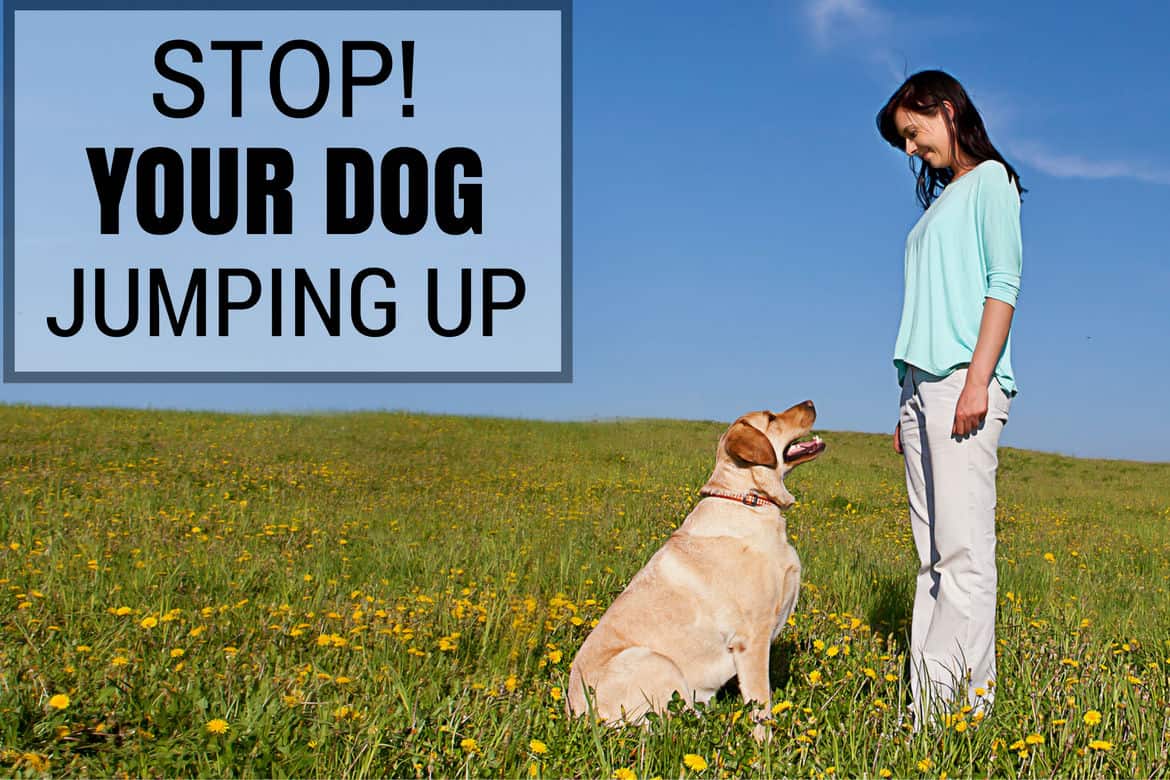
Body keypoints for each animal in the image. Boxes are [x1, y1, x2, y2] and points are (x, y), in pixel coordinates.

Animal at [563, 402, 823, 739]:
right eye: (771, 418)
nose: (811, 403)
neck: (750, 499)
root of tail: (576, 715)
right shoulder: (752, 638)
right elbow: (760, 702)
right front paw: (765, 744)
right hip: (657, 662)